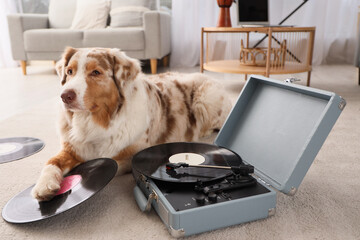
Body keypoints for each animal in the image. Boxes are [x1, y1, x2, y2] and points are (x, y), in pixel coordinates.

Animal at [31, 47, 233, 201]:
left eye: (96, 72)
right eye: (69, 72)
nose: (65, 96)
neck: (95, 121)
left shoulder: (134, 155)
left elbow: (109, 162)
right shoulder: (70, 148)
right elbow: (51, 162)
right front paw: (44, 185)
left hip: (205, 99)